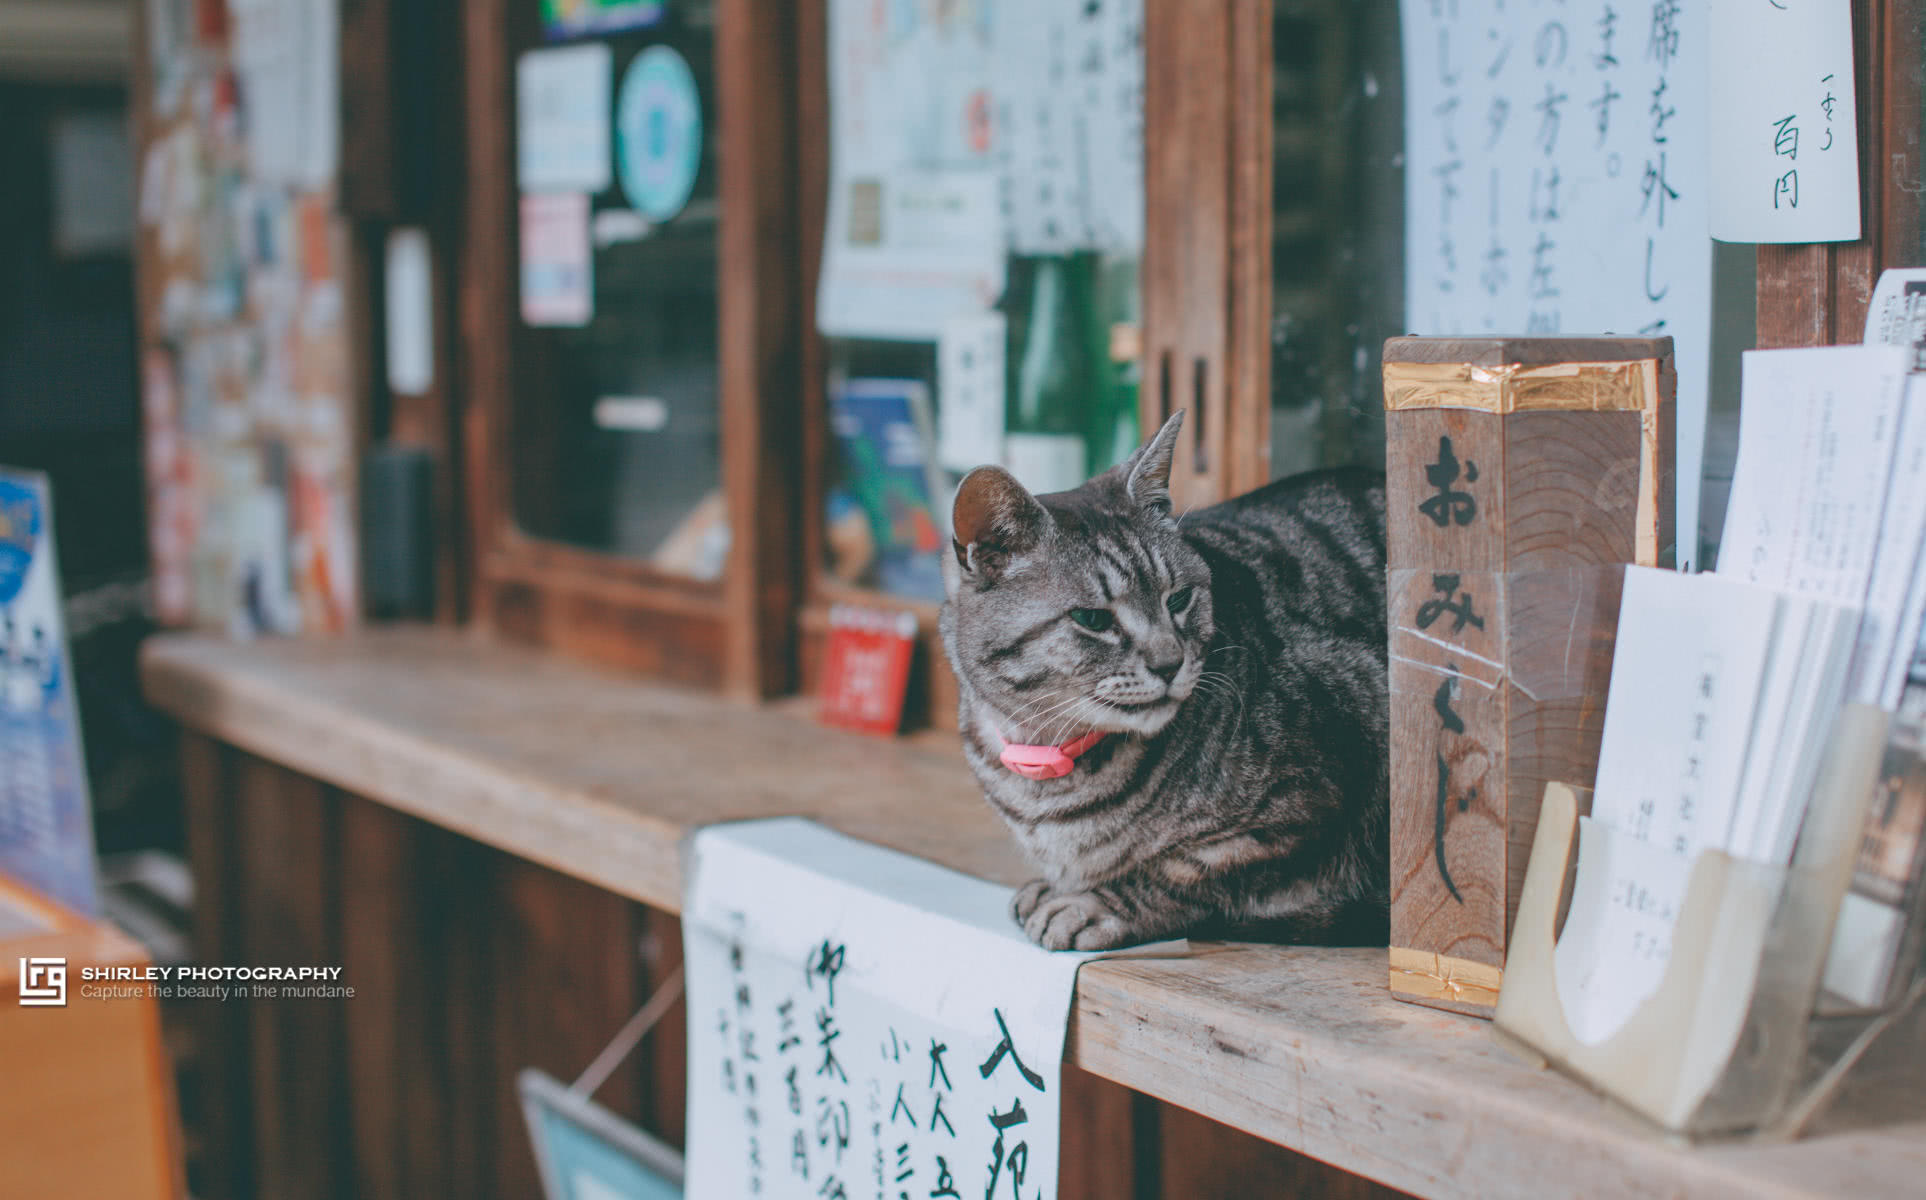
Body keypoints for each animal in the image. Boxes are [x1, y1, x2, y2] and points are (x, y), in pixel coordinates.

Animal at [932, 408, 1386, 951]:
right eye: (1092, 619)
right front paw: (1056, 886)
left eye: (1179, 599)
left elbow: (1182, 870)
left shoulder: (1308, 797)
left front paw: (1090, 902)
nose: (1170, 662)